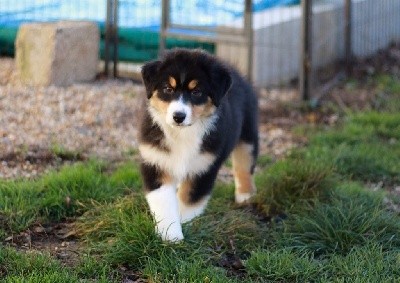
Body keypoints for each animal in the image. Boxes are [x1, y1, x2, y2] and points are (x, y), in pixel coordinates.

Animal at [139, 48, 260, 242]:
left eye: (196, 92)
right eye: (168, 89)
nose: (178, 116)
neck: (183, 133)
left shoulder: (203, 167)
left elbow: (189, 200)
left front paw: (183, 225)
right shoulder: (156, 161)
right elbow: (164, 201)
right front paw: (171, 237)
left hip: (248, 135)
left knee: (244, 165)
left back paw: (245, 196)